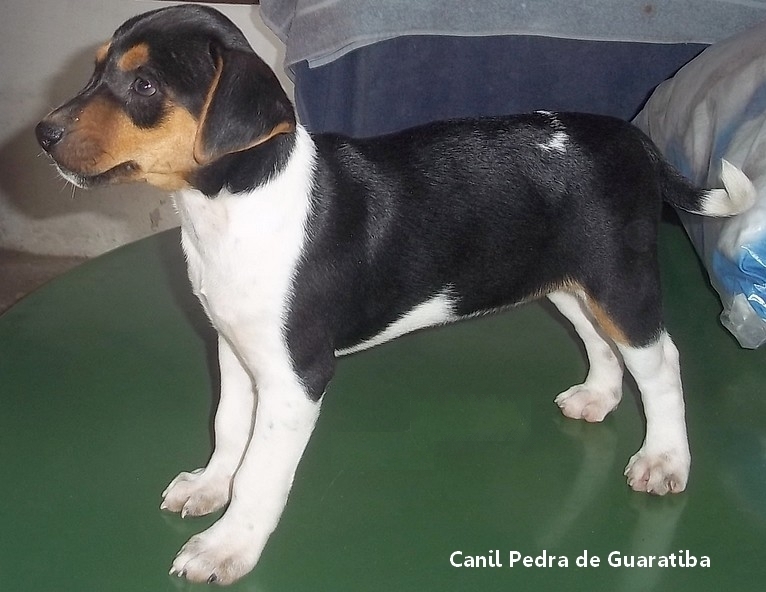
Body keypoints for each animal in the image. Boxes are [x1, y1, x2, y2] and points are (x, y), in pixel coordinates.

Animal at [36, 3, 756, 588]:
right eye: (95, 71)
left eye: (145, 85)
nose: (43, 134)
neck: (232, 206)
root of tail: (633, 137)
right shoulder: (236, 349)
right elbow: (228, 429)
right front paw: (210, 487)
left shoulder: (296, 376)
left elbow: (261, 472)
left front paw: (227, 547)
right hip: (565, 281)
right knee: (599, 341)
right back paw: (598, 397)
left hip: (618, 281)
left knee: (661, 364)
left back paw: (664, 459)